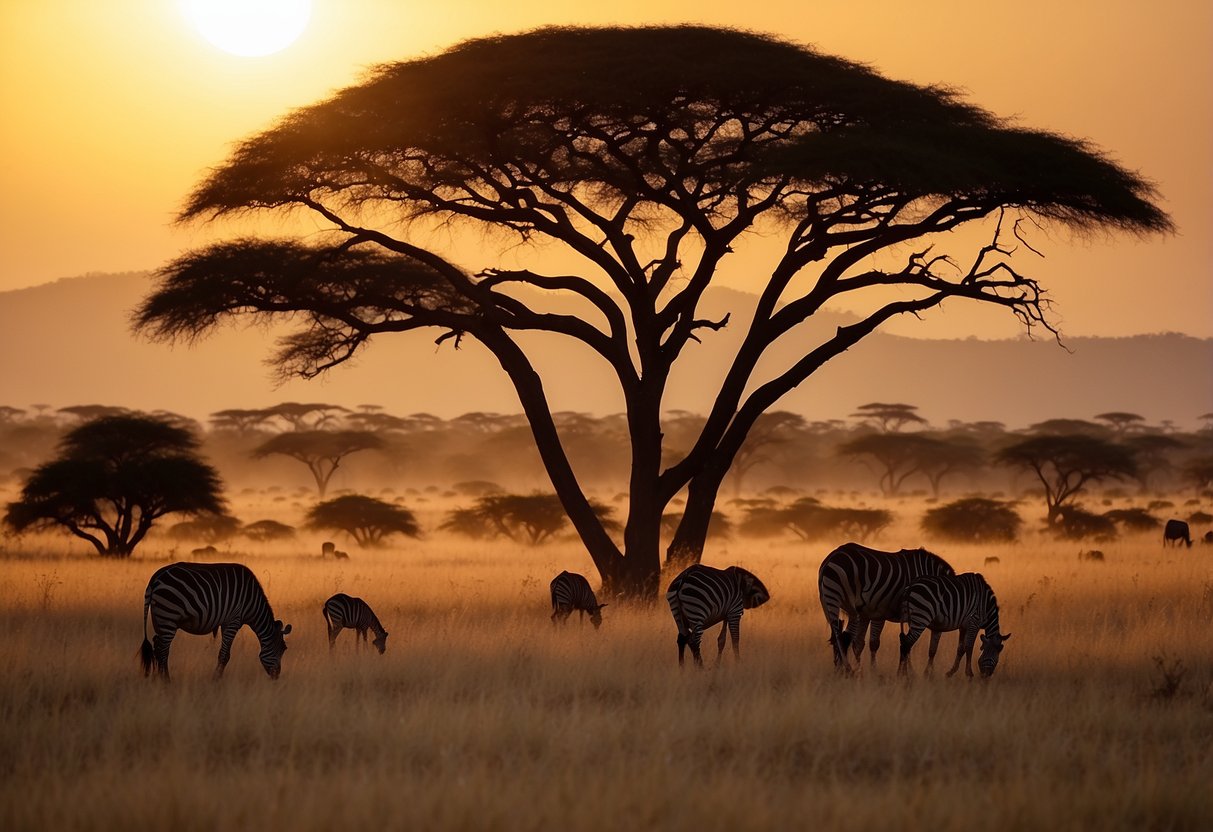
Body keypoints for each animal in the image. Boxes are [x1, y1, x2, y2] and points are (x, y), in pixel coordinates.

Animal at [138, 560, 291, 684]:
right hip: (169, 615)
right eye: (283, 649)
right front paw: (215, 680)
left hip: (159, 618)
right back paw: (167, 682)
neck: (252, 604)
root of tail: (156, 577)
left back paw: (159, 678)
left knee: (157, 646)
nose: (276, 677)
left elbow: (224, 653)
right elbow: (224, 655)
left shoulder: (225, 622)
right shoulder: (233, 621)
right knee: (163, 650)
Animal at [815, 543, 955, 674]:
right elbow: (881, 643)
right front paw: (876, 671)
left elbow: (861, 643)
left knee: (837, 636)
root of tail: (832, 556)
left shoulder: (868, 613)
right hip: (843, 601)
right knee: (841, 637)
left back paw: (841, 669)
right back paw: (847, 669)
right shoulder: (895, 611)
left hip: (830, 601)